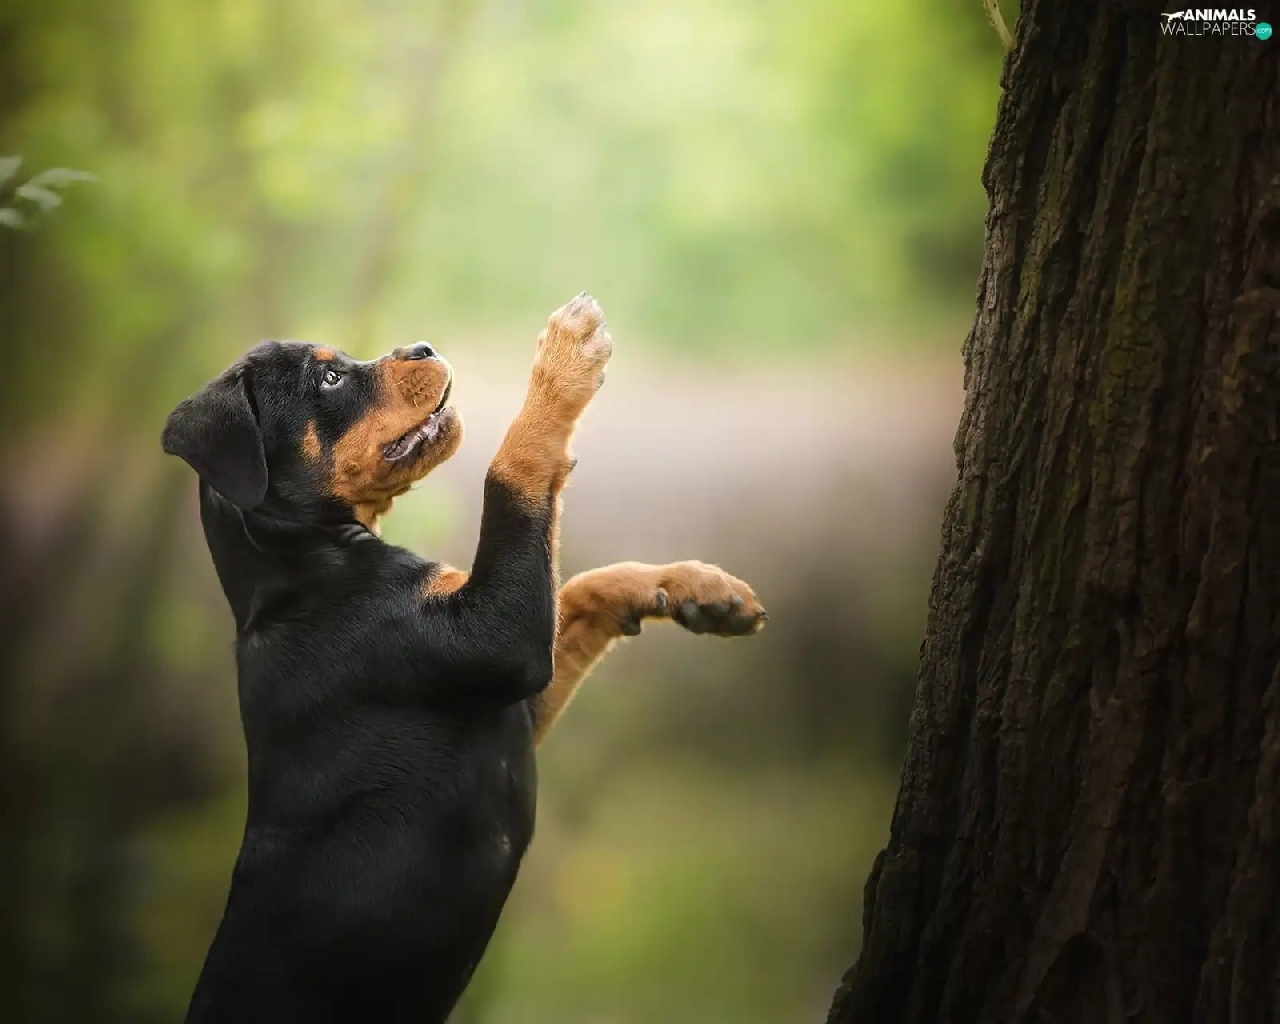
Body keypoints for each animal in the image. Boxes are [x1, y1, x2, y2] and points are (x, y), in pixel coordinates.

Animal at [162, 294, 767, 1022]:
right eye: (328, 380)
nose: (421, 347)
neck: (301, 569)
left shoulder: (511, 692)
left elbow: (582, 585)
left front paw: (698, 589)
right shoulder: (499, 639)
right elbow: (510, 473)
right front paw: (565, 356)